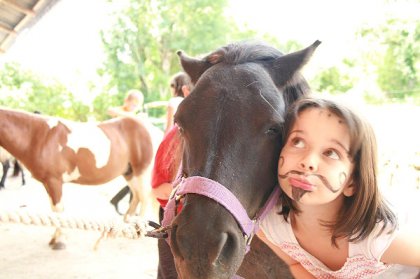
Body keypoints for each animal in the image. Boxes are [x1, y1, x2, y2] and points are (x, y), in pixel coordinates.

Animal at [0, 108, 154, 250]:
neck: (38, 136)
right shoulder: (48, 183)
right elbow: (55, 211)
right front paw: (55, 238)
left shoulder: (54, 181)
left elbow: (58, 211)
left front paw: (60, 241)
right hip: (129, 173)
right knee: (136, 196)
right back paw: (129, 223)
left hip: (141, 171)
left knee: (144, 197)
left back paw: (139, 227)